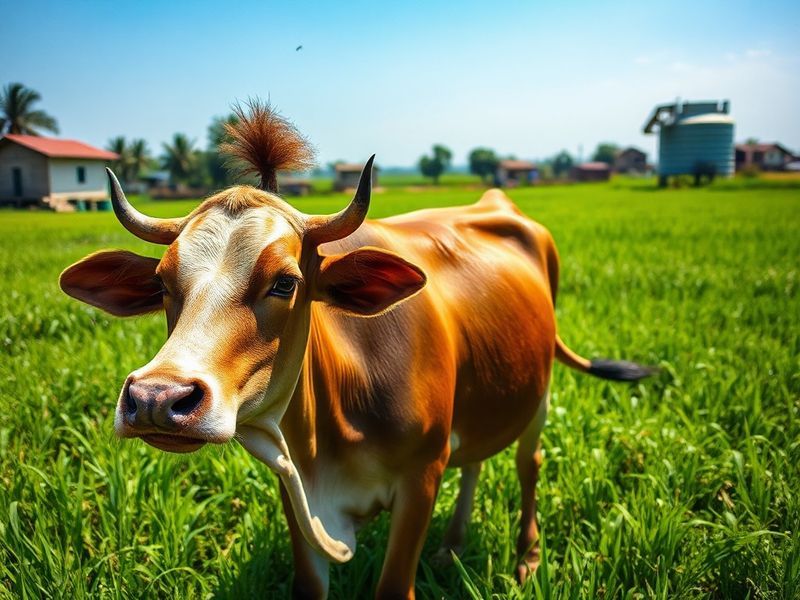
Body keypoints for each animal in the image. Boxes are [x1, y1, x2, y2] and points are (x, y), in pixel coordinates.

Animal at [59, 102, 651, 599]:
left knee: (529, 463)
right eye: (162, 283)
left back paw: (526, 556)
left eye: (286, 283)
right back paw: (453, 546)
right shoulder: (296, 492)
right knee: (476, 462)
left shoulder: (421, 477)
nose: (158, 398)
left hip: (540, 390)